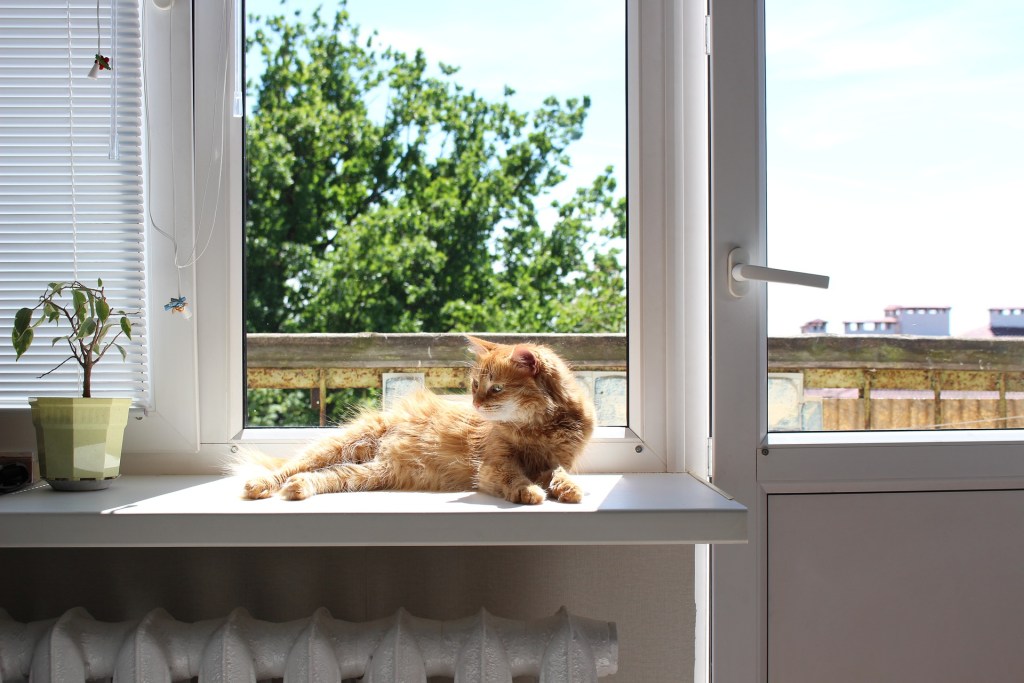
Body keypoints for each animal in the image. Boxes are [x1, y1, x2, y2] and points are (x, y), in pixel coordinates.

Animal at [234, 335, 598, 501]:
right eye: (475, 385)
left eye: (495, 389)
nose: (475, 403)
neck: (541, 427)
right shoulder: (495, 464)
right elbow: (515, 478)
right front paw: (530, 493)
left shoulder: (553, 460)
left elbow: (558, 473)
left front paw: (569, 489)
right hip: (338, 446)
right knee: (289, 468)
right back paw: (260, 485)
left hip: (370, 474)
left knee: (324, 476)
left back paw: (299, 489)